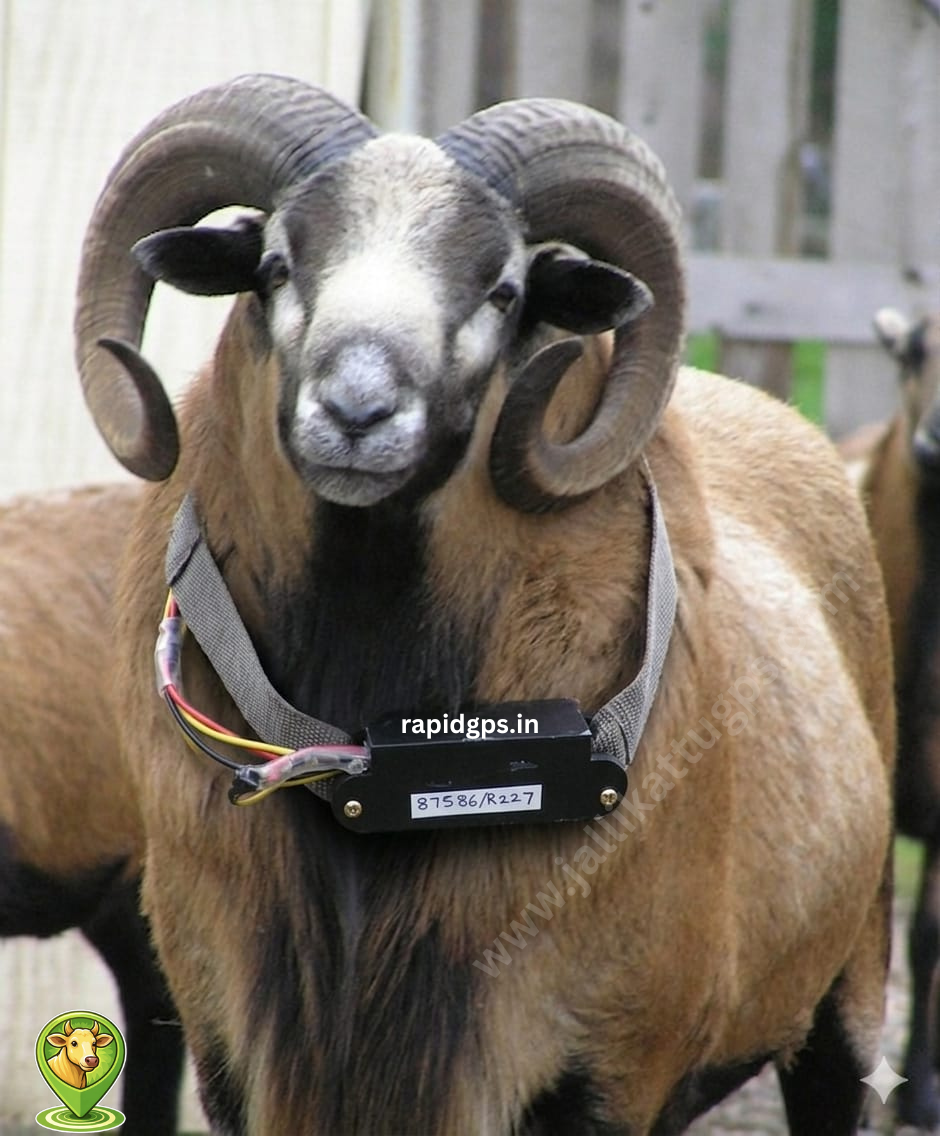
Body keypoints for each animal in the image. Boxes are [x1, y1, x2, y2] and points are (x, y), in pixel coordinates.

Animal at [74, 74, 894, 1134]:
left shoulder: (600, 1075)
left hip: (846, 1005)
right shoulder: (236, 1065)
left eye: (502, 289)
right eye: (276, 264)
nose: (356, 412)